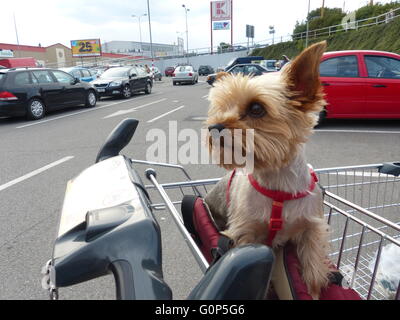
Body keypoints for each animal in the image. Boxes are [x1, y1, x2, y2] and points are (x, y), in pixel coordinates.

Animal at [205, 41, 332, 298]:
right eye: (221, 108)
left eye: (256, 108)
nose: (214, 127)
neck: (278, 185)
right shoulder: (244, 235)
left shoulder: (312, 230)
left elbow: (313, 273)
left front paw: (313, 292)